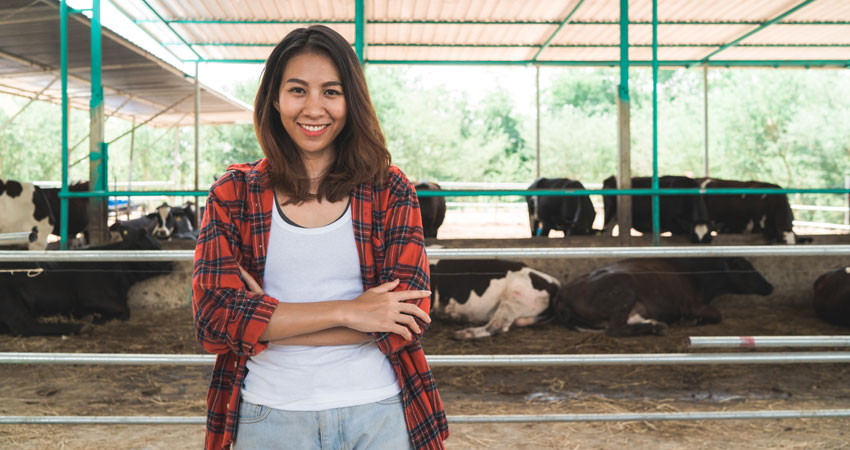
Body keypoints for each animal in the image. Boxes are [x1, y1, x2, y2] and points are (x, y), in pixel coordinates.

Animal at [0, 230, 173, 336]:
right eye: (153, 247)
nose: (171, 263)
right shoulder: (92, 297)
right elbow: (125, 310)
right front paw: (95, 318)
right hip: (9, 298)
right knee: (24, 325)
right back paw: (81, 327)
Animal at [552, 258, 772, 336]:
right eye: (747, 268)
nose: (770, 286)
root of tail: (563, 295)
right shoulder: (692, 305)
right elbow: (717, 314)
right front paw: (692, 321)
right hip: (625, 289)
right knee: (615, 329)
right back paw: (656, 327)